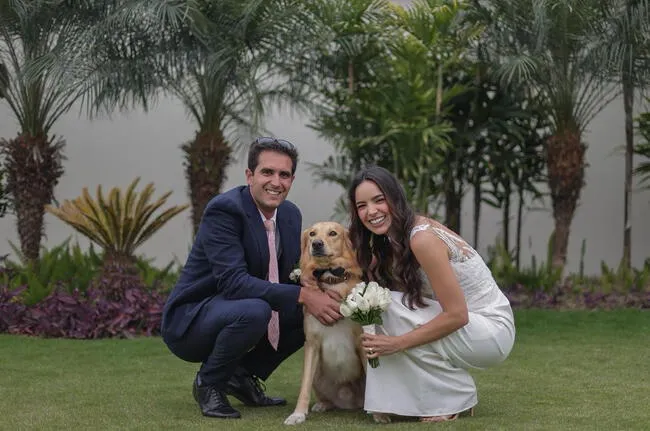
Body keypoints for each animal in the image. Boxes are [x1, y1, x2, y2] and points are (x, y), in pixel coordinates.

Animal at [282, 223, 368, 426]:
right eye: (312, 234)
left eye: (333, 233)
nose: (317, 244)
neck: (330, 278)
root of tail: (350, 403)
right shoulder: (311, 343)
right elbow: (304, 387)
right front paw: (298, 414)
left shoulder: (362, 341)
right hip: (317, 375)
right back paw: (322, 404)